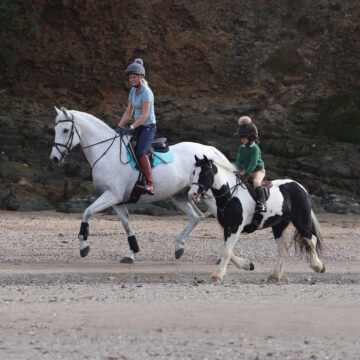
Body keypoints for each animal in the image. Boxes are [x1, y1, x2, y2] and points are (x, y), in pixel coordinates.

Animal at [50, 105, 253, 268]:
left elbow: (87, 212)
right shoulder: (117, 201)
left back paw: (223, 257)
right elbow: (127, 226)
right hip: (181, 195)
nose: (54, 158)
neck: (107, 153)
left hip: (210, 197)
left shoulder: (111, 196)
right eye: (55, 130)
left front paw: (84, 246)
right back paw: (179, 247)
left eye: (66, 130)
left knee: (222, 221)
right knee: (196, 216)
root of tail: (208, 150)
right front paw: (131, 254)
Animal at [190, 156, 324, 282]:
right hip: (279, 226)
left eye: (205, 173)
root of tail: (300, 186)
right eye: (194, 172)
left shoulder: (235, 227)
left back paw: (318, 266)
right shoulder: (226, 227)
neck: (231, 196)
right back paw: (275, 276)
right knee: (283, 249)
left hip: (300, 221)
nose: (192, 194)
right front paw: (247, 265)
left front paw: (217, 275)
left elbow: (227, 251)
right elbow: (228, 250)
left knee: (311, 239)